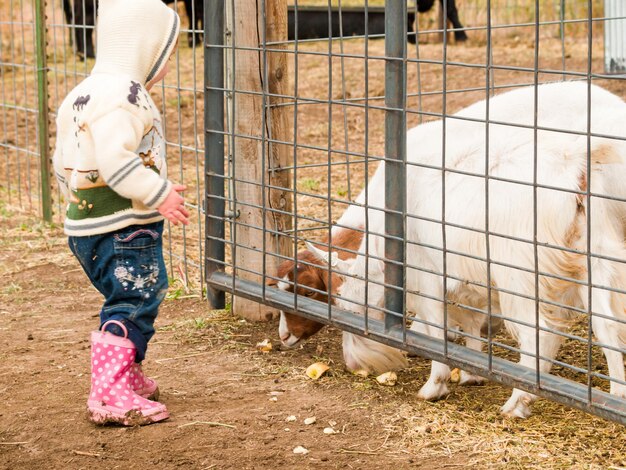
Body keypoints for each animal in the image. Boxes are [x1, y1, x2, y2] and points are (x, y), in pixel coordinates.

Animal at [308, 81, 624, 418]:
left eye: (354, 310)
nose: (353, 364)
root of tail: (574, 164)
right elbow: (471, 322)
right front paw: (472, 373)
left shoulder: (428, 275)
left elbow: (435, 327)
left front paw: (434, 385)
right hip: (596, 257)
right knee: (607, 326)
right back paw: (615, 395)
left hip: (519, 273)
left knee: (540, 332)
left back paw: (518, 400)